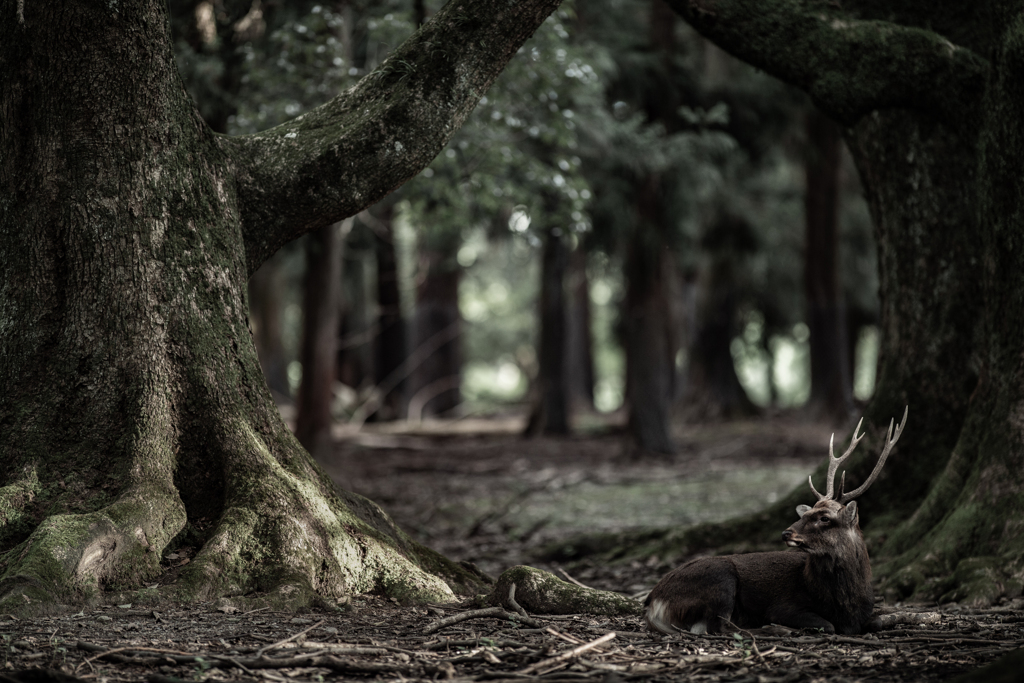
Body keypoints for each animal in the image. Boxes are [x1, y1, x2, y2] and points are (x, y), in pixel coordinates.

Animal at [643, 405, 909, 634]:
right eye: (807, 513)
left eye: (824, 517)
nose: (786, 533)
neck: (847, 604)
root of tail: (652, 601)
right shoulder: (784, 606)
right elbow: (827, 625)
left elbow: (876, 621)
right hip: (720, 580)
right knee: (718, 627)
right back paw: (774, 629)